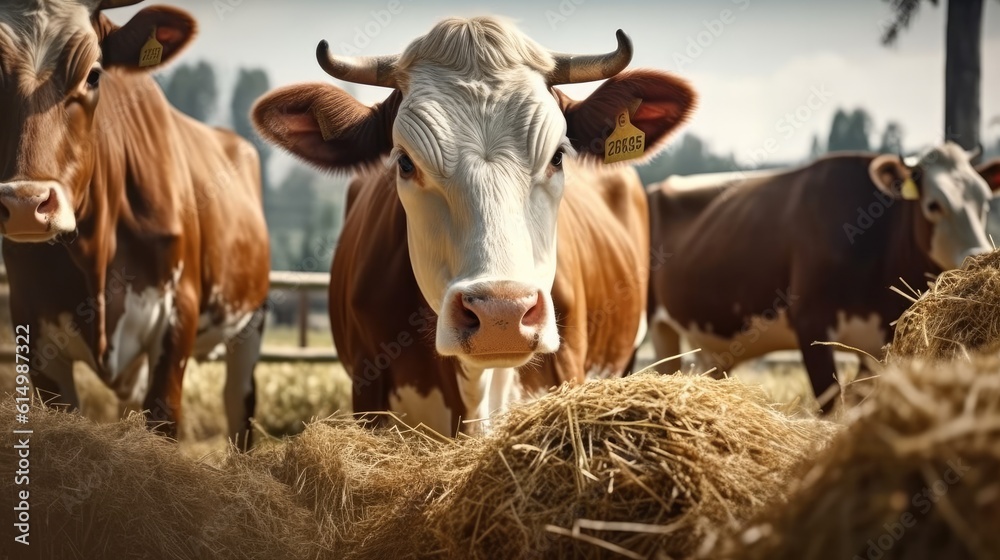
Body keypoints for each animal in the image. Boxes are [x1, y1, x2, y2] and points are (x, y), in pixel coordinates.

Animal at [0, 0, 270, 446]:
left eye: (94, 74)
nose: (25, 203)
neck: (97, 245)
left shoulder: (178, 317)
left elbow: (162, 421)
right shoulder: (33, 333)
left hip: (250, 322)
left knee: (238, 402)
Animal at [648, 142, 1000, 410]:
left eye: (985, 202)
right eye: (933, 205)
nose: (978, 255)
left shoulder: (880, 343)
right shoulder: (810, 325)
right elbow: (831, 406)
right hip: (656, 327)